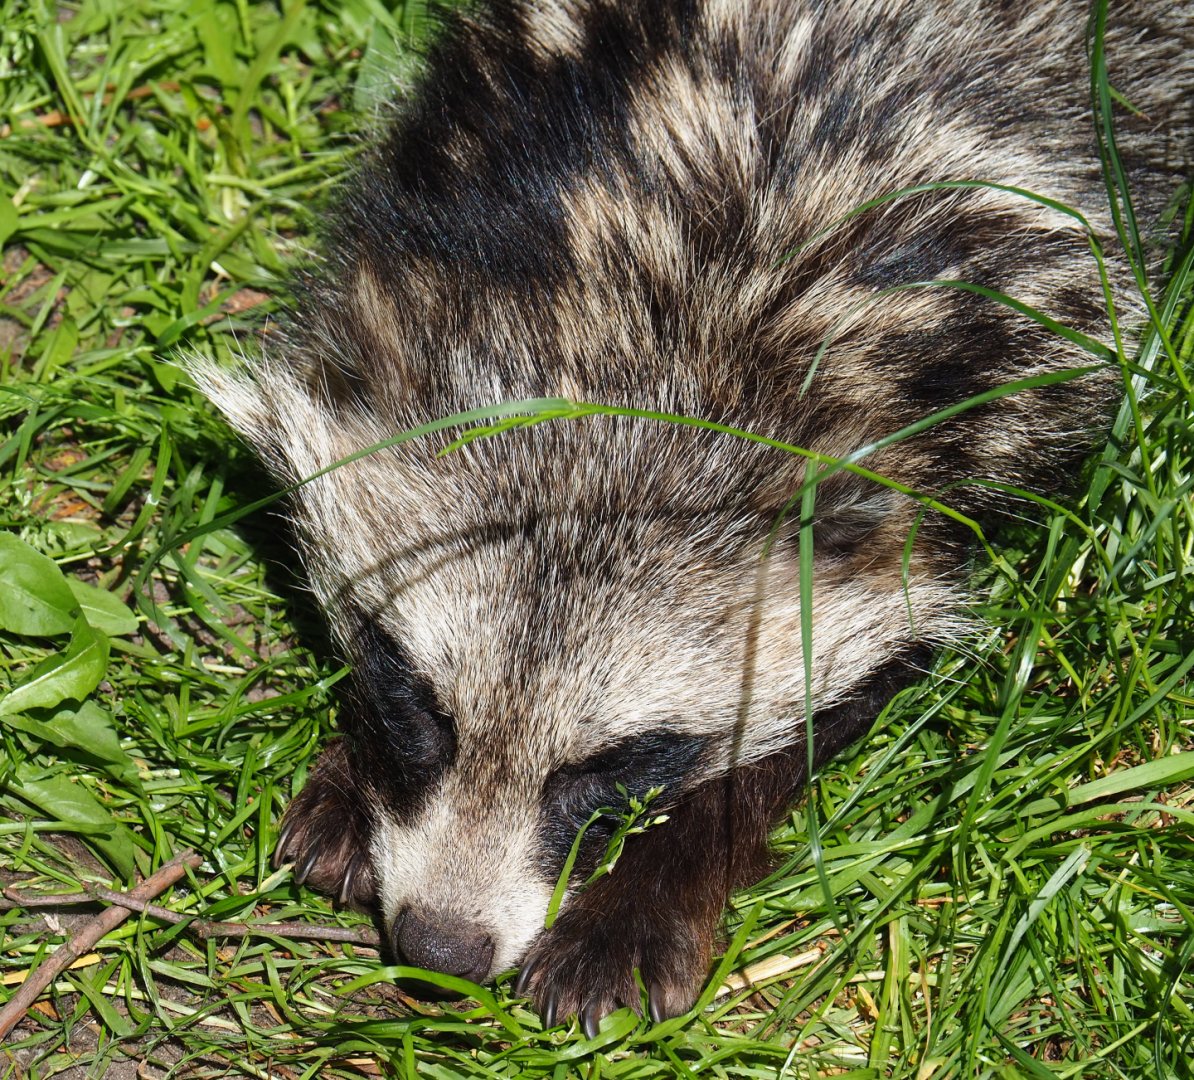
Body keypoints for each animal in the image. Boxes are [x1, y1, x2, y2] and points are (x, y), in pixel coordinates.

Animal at [190, 0, 1192, 1035]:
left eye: (622, 762)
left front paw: (651, 886)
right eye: (421, 702)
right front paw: (358, 772)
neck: (669, 332)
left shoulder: (1015, 374)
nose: (440, 950)